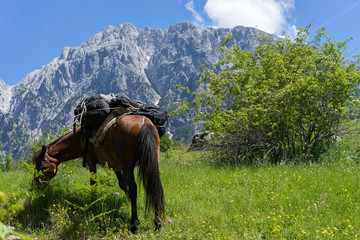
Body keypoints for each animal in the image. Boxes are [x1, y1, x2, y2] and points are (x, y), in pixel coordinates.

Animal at [32, 114, 165, 232]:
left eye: (39, 165)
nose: (35, 184)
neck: (80, 137)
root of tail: (144, 124)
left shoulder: (90, 160)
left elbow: (93, 183)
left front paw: (92, 203)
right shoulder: (115, 166)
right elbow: (122, 185)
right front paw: (127, 202)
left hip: (128, 166)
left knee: (134, 188)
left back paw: (134, 224)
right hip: (151, 161)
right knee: (154, 186)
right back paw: (157, 222)